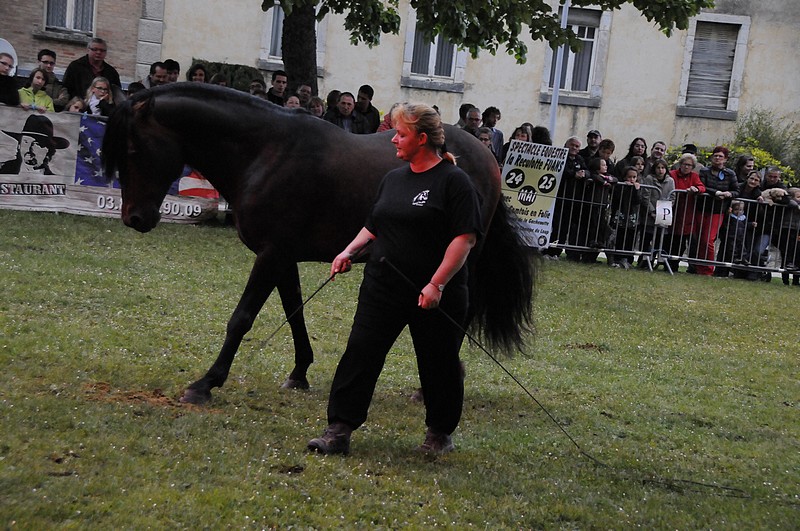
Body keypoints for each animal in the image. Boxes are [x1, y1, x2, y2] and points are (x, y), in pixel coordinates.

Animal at [103, 83, 535, 404]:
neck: (266, 153)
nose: (134, 219)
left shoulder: (271, 254)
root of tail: (486, 155)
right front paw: (299, 373)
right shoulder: (282, 256)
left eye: (133, 149)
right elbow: (294, 312)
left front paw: (206, 383)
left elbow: (242, 318)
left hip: (461, 257)